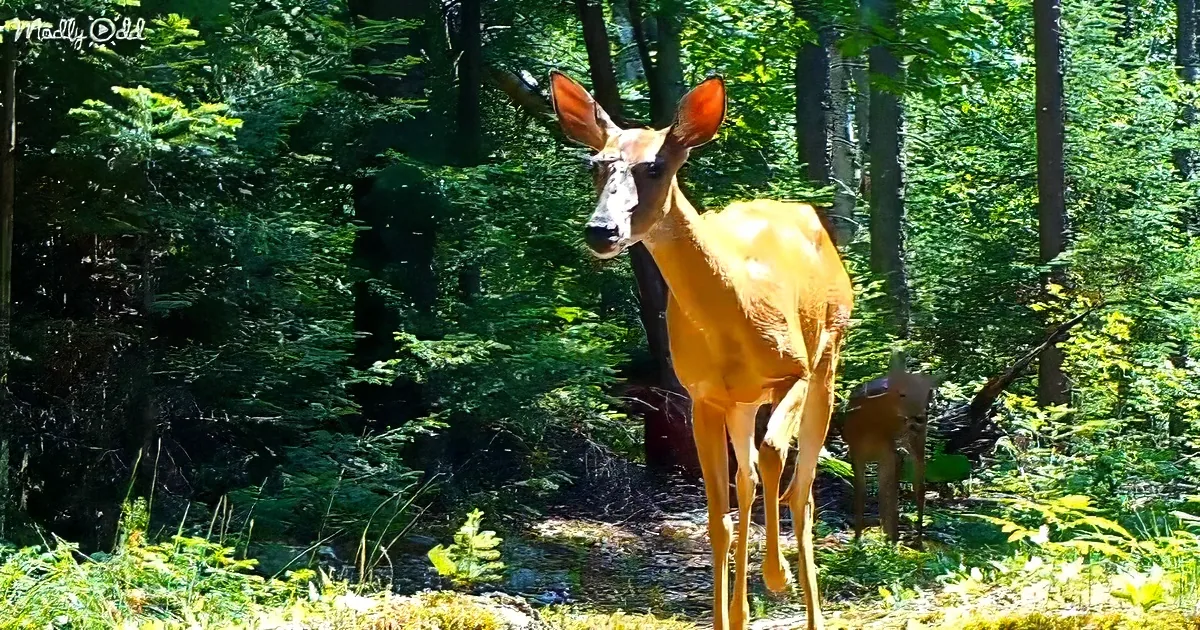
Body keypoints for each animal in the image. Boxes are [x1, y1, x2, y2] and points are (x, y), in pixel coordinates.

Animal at [549, 71, 853, 630]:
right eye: (594, 164)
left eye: (655, 165)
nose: (601, 230)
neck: (737, 310)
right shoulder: (702, 396)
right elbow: (718, 517)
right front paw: (728, 611)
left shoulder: (793, 371)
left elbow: (776, 458)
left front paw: (776, 576)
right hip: (741, 402)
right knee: (749, 479)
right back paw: (741, 611)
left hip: (829, 357)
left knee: (800, 486)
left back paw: (805, 604)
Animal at [839, 350, 940, 547]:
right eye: (901, 394)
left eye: (926, 395)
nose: (920, 417)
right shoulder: (856, 453)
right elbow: (862, 493)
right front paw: (857, 540)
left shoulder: (889, 453)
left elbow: (889, 494)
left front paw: (891, 540)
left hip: (914, 443)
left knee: (919, 485)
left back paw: (916, 539)